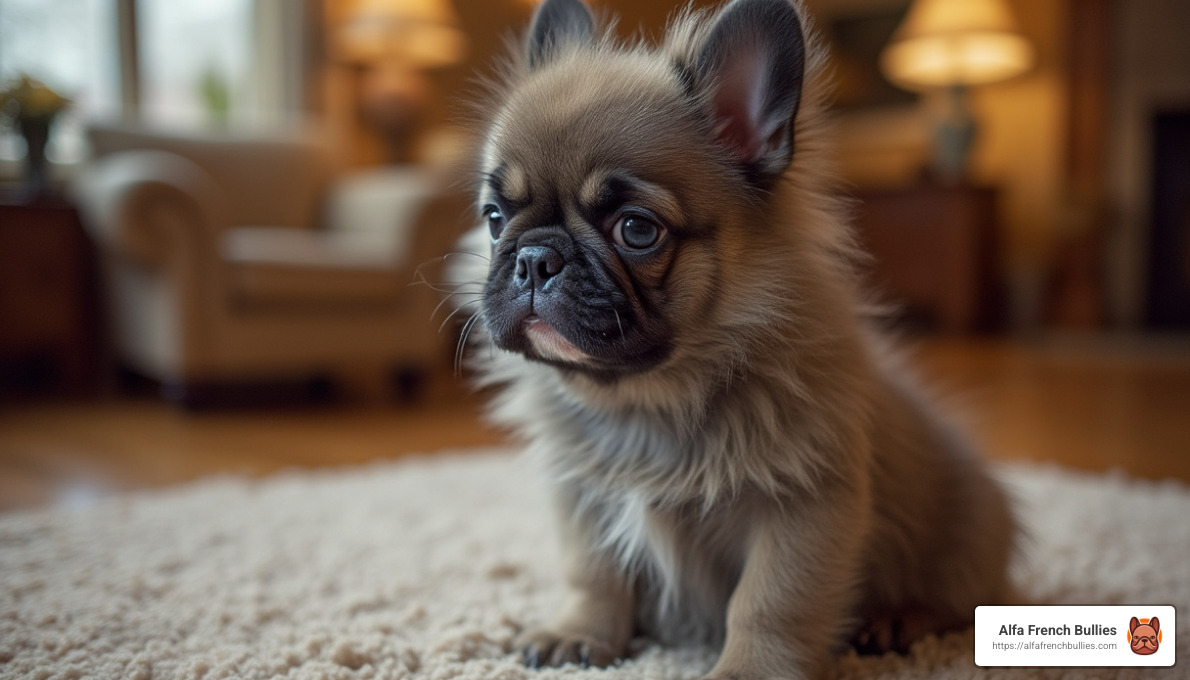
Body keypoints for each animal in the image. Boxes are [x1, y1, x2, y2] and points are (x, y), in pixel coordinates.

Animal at [449, 1, 1018, 680]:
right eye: (495, 219)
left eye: (637, 231)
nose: (535, 259)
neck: (648, 398)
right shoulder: (582, 500)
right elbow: (595, 574)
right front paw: (581, 633)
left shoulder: (802, 510)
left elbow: (771, 602)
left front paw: (751, 668)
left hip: (964, 537)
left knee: (961, 602)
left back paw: (899, 620)